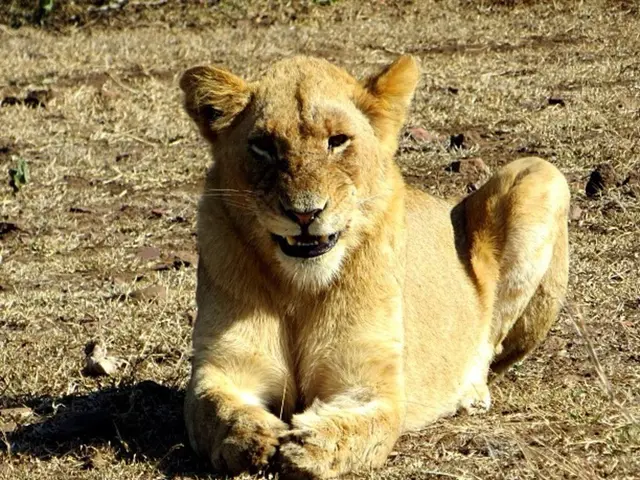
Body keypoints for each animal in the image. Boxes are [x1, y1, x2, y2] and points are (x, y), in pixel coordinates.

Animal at [179, 55, 570, 479]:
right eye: (264, 146)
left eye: (337, 141)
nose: (304, 214)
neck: (299, 288)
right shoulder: (225, 366)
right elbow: (213, 409)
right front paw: (253, 437)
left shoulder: (369, 382)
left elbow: (364, 427)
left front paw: (311, 446)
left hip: (540, 174)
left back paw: (469, 392)